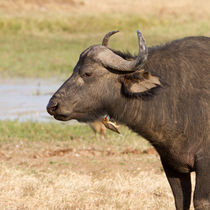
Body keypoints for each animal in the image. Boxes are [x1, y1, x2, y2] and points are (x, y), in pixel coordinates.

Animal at [47, 30, 210, 209]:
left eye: (87, 73)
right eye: (74, 69)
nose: (52, 106)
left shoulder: (205, 165)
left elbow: (201, 201)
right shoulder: (171, 165)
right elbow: (180, 201)